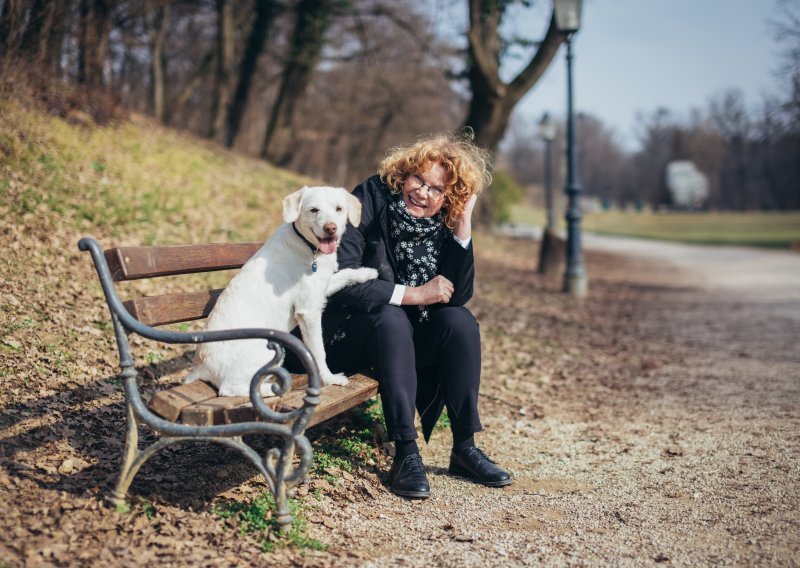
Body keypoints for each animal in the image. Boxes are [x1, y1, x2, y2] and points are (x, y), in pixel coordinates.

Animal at [188, 185, 378, 394]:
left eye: (339, 209)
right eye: (314, 210)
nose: (331, 228)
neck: (308, 247)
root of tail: (200, 366)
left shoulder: (322, 287)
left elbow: (345, 274)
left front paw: (368, 273)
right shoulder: (309, 312)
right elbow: (318, 352)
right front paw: (330, 378)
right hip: (268, 352)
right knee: (231, 389)